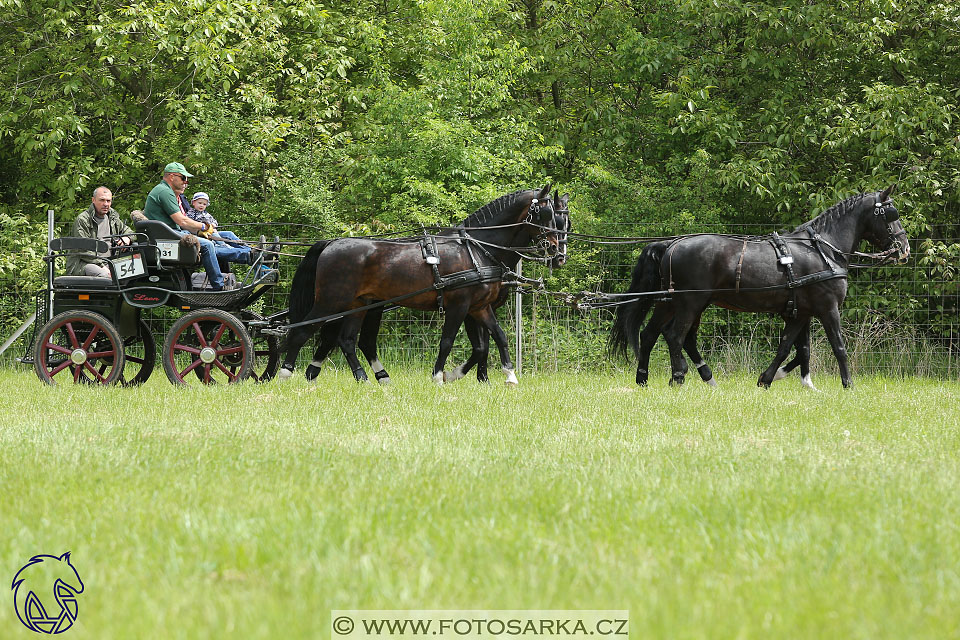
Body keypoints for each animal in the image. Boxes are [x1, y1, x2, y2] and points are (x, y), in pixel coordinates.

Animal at [278, 185, 564, 384]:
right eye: (545, 214)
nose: (555, 250)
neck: (476, 249)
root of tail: (331, 243)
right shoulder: (459, 305)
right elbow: (448, 341)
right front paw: (439, 376)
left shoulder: (480, 307)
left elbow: (498, 337)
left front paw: (509, 376)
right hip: (331, 301)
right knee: (301, 332)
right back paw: (284, 373)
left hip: (359, 304)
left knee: (346, 339)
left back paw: (365, 379)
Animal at [608, 182, 908, 388]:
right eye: (891, 214)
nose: (904, 247)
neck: (822, 249)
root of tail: (671, 244)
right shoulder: (827, 308)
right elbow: (838, 347)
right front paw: (848, 385)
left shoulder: (800, 312)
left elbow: (791, 347)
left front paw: (770, 378)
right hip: (690, 302)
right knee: (675, 336)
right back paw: (679, 376)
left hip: (672, 302)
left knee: (650, 334)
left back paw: (645, 379)